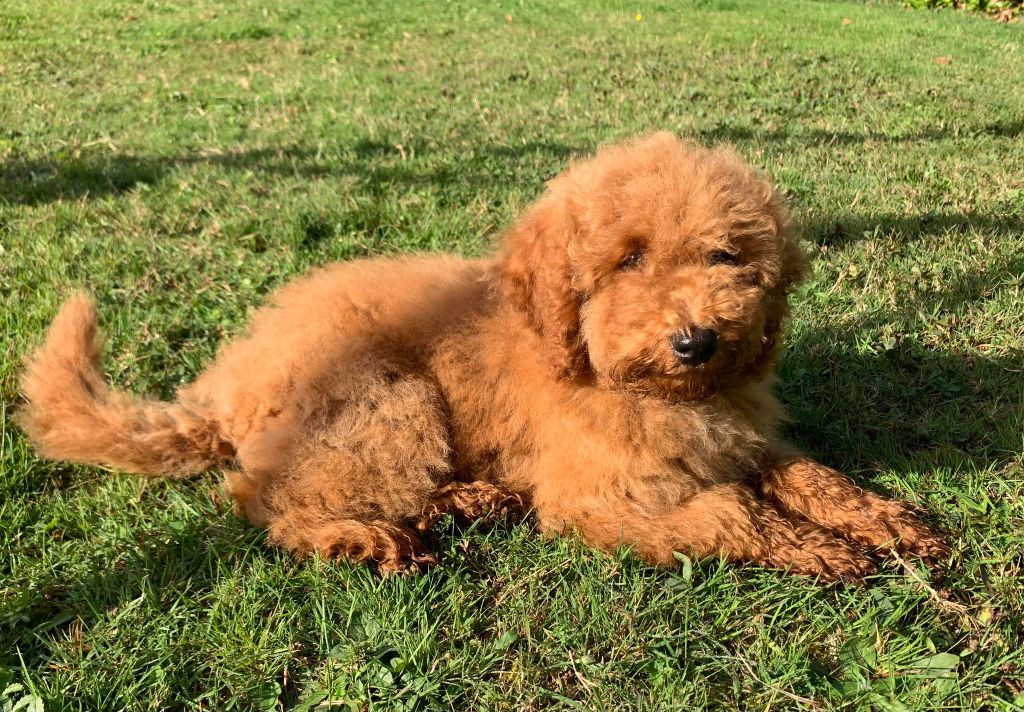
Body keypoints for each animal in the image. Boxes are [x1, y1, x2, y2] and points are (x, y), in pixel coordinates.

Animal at [16, 132, 946, 577]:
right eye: (629, 259)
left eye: (725, 256)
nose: (697, 340)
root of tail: (226, 384)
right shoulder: (596, 497)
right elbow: (728, 513)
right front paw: (824, 550)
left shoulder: (740, 434)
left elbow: (809, 474)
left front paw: (890, 523)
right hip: (387, 399)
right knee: (266, 503)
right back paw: (368, 538)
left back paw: (468, 502)